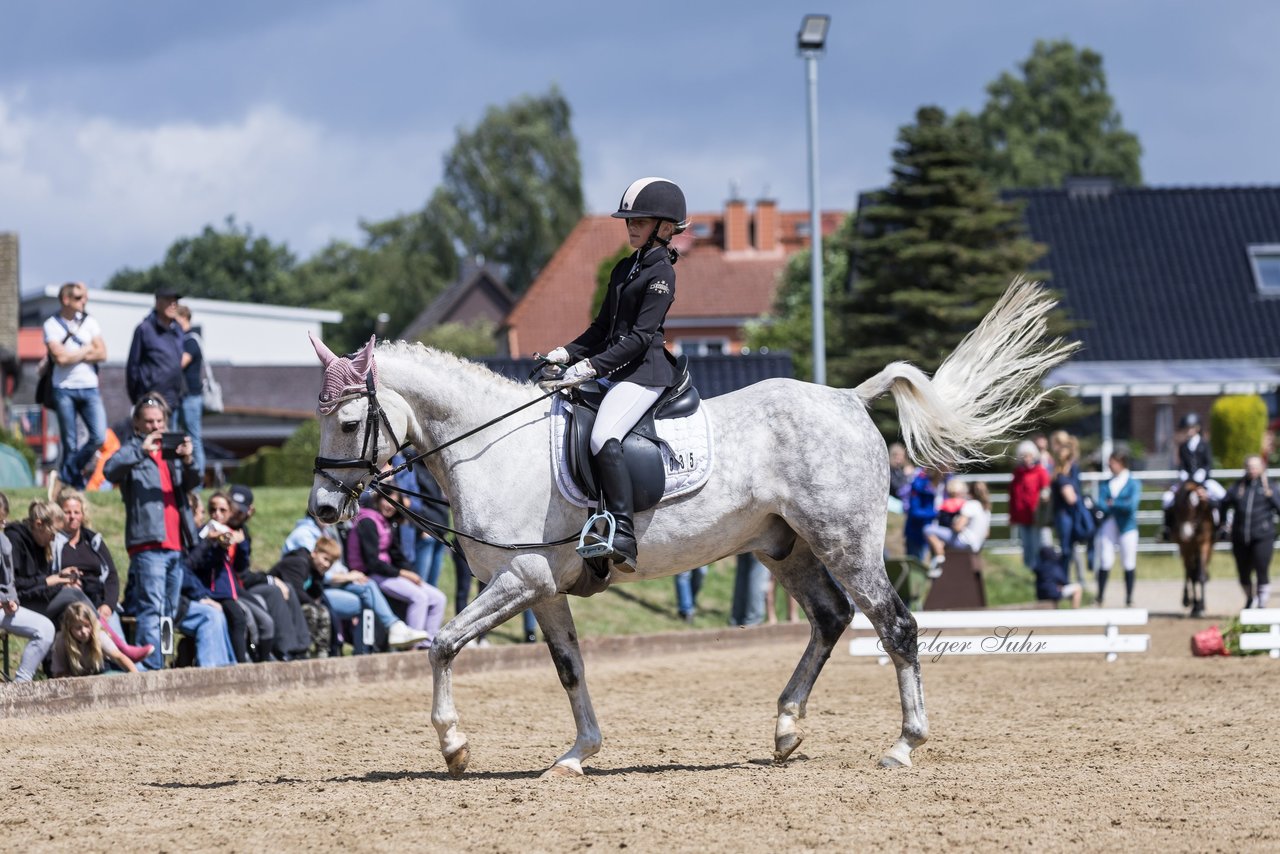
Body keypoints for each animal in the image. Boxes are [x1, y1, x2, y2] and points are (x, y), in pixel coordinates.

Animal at [307, 279, 1070, 773]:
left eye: (348, 421)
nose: (320, 509)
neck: (493, 446)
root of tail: (849, 398)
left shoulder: (521, 580)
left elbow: (441, 644)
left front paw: (454, 746)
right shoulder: (542, 588)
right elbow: (568, 666)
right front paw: (578, 754)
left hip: (845, 541)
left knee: (896, 627)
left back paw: (904, 745)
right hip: (783, 545)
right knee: (829, 619)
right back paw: (786, 729)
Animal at [1172, 483, 1213, 617]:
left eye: (1195, 507)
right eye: (1177, 507)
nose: (1185, 534)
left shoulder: (1204, 544)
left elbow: (1201, 576)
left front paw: (1202, 606)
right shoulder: (1186, 547)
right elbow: (1192, 576)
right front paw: (1195, 605)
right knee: (1189, 573)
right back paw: (1189, 602)